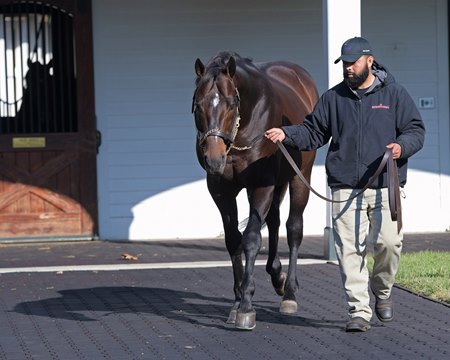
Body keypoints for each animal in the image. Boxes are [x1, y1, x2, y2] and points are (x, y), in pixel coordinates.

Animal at [192, 52, 318, 330]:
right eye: (198, 103)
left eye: (230, 103)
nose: (214, 159)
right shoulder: (221, 190)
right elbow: (233, 240)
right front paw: (237, 301)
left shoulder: (262, 185)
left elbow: (250, 239)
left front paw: (246, 307)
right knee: (273, 221)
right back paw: (276, 275)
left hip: (299, 177)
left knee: (293, 228)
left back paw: (289, 293)